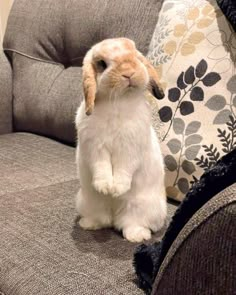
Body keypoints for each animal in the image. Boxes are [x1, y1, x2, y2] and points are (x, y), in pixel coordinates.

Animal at [75, 38, 166, 244]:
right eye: (102, 64)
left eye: (136, 57)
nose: (129, 73)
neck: (117, 102)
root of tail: (114, 214)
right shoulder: (95, 147)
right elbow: (101, 167)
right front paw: (105, 188)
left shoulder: (130, 149)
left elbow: (124, 169)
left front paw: (117, 189)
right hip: (88, 201)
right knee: (101, 219)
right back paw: (88, 223)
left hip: (141, 207)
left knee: (131, 223)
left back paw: (137, 236)